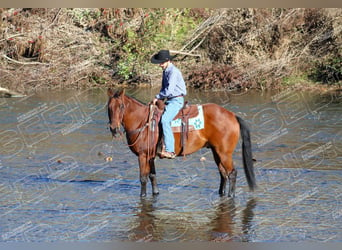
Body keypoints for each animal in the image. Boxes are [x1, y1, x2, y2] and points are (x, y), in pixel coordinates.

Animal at [107, 89, 256, 196]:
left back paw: (231, 195)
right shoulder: (150, 156)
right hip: (216, 152)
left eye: (121, 106)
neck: (143, 122)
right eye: (109, 107)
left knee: (232, 173)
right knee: (223, 174)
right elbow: (152, 176)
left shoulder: (143, 156)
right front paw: (156, 193)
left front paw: (142, 196)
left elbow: (143, 178)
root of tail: (232, 115)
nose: (113, 129)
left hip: (224, 153)